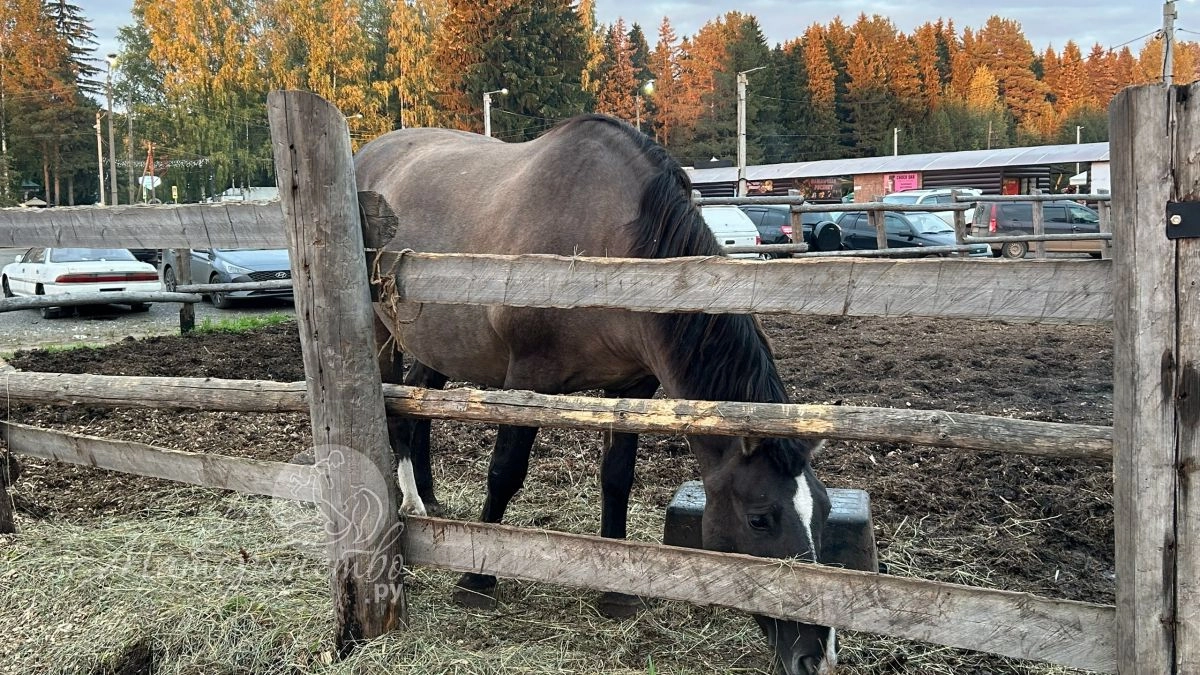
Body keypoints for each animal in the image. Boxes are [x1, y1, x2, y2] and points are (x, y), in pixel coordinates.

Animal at [354, 114, 835, 675]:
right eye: (761, 519)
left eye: (824, 513)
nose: (815, 656)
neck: (609, 242)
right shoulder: (528, 379)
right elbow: (505, 472)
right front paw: (477, 577)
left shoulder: (632, 387)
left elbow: (617, 478)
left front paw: (617, 588)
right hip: (382, 332)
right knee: (395, 414)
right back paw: (409, 503)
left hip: (436, 344)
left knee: (420, 410)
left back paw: (429, 497)